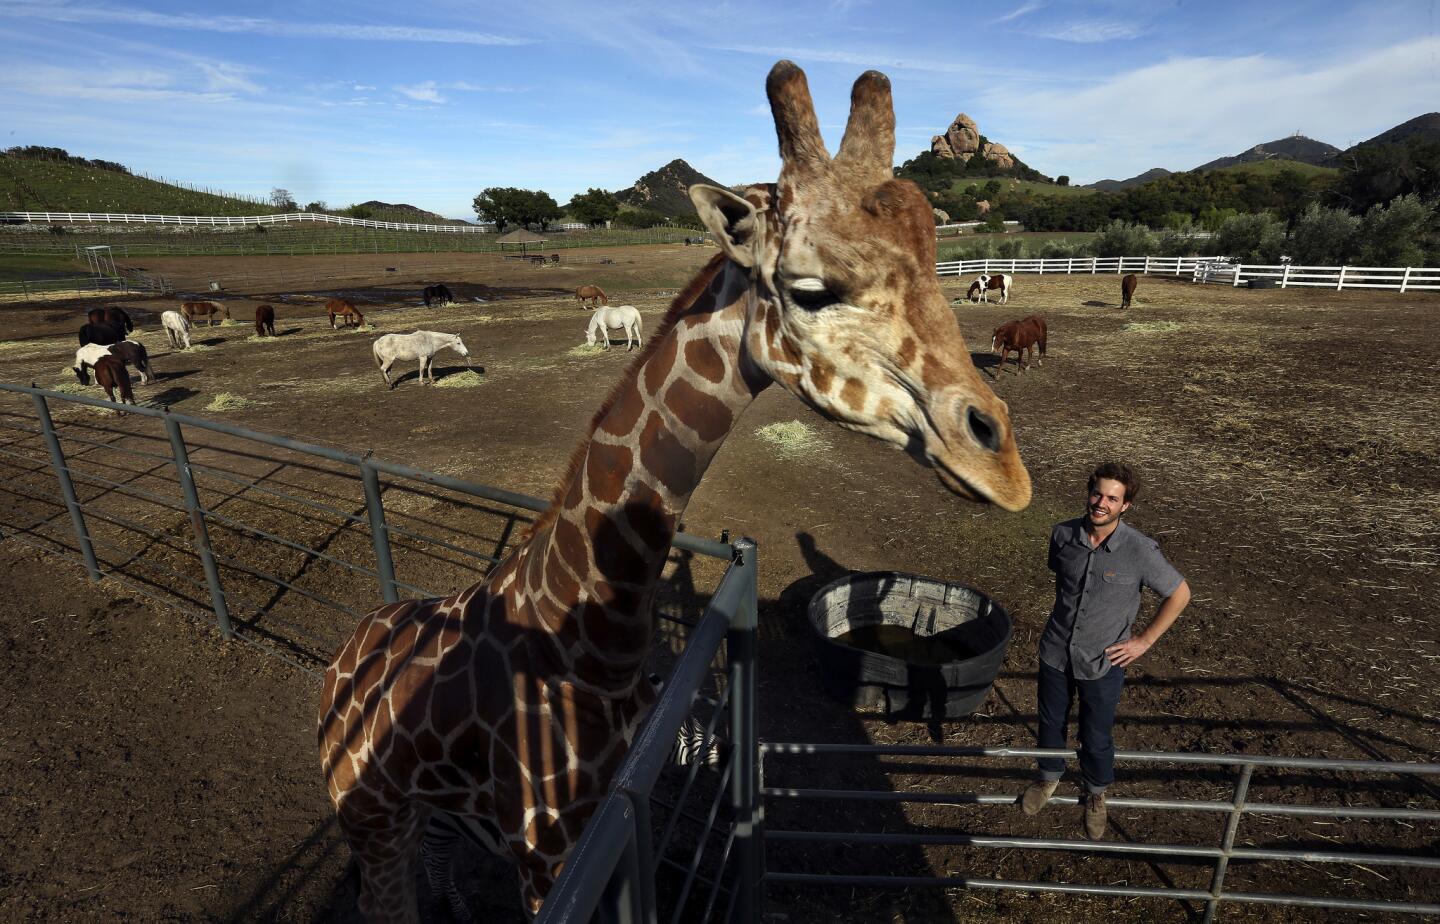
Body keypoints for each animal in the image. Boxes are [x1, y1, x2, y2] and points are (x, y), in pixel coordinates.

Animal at [319, 61, 1031, 915]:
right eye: (811, 289)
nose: (1006, 469)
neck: (590, 644)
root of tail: (339, 659)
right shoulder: (545, 858)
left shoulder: (607, 832)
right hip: (369, 816)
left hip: (430, 813)